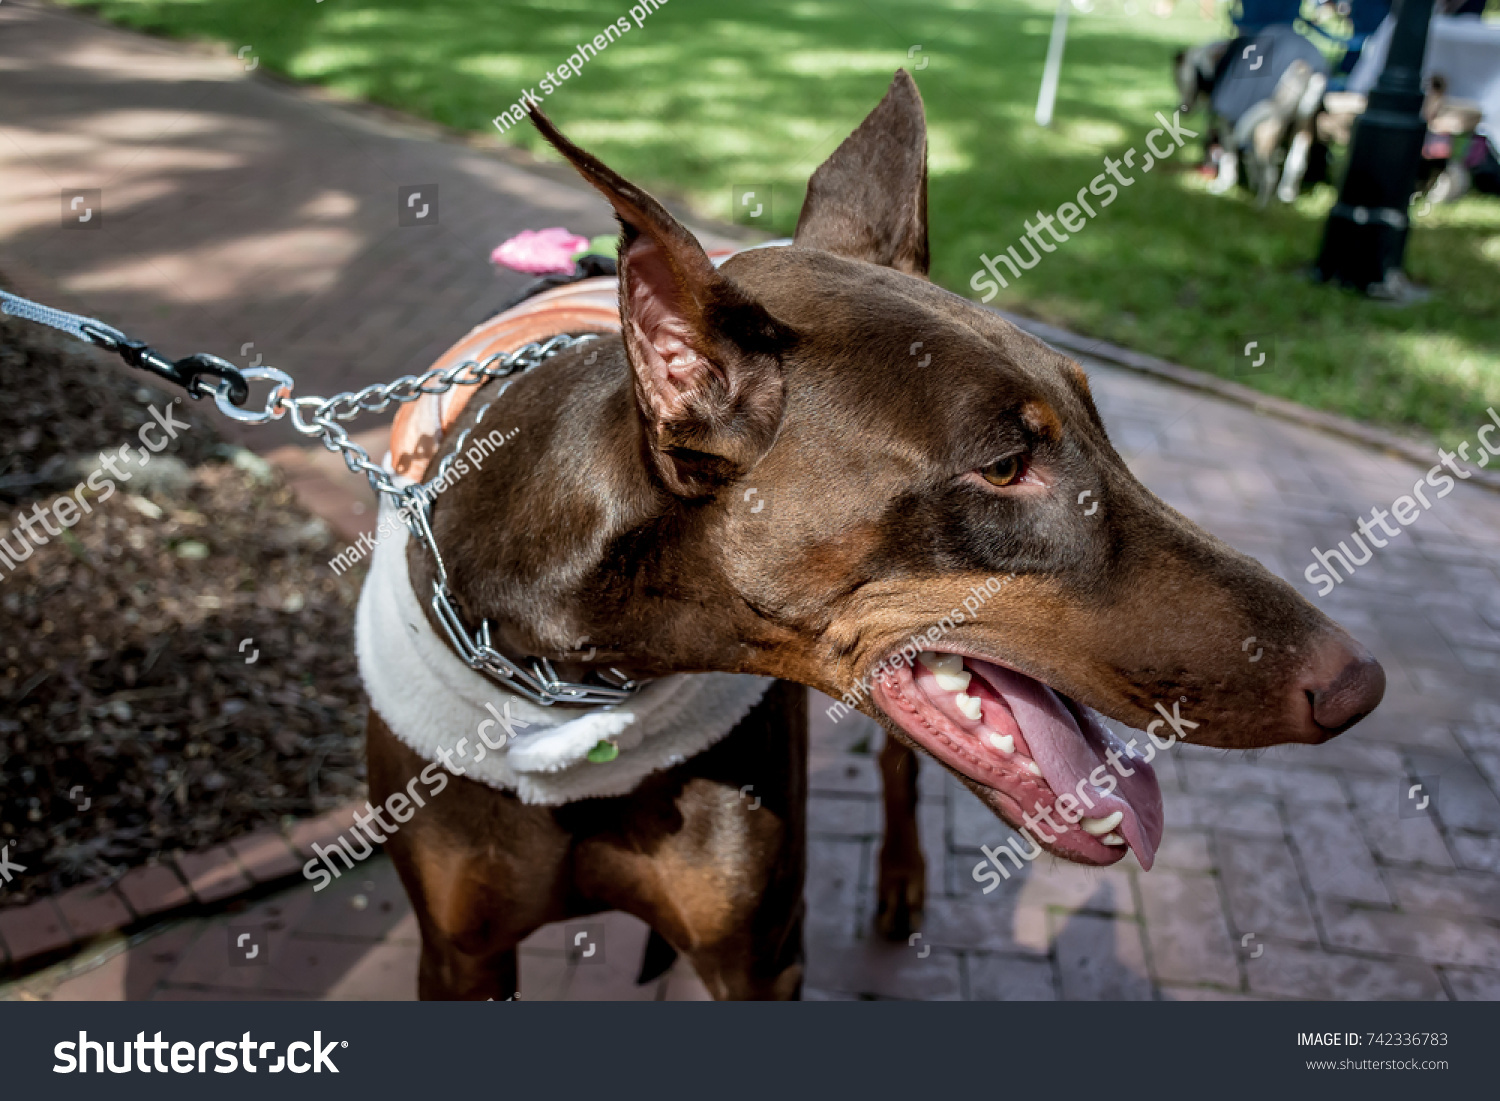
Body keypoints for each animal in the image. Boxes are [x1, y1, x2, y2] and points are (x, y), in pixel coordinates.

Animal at [363, 69, 1380, 1002]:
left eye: (1100, 420)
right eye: (1005, 466)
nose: (1360, 685)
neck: (585, 675)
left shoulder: (759, 951)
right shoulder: (459, 953)